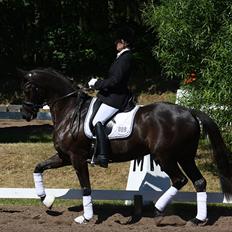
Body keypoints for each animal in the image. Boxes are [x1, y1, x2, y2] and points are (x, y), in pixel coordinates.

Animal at [20, 68, 232, 225]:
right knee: (199, 182)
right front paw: (47, 200)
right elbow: (38, 168)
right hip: (185, 156)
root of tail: (189, 111)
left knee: (180, 180)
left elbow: (85, 187)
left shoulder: (76, 157)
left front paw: (86, 217)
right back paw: (198, 219)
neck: (70, 111)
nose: (25, 114)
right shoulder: (64, 156)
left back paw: (157, 211)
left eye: (28, 88)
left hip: (165, 156)